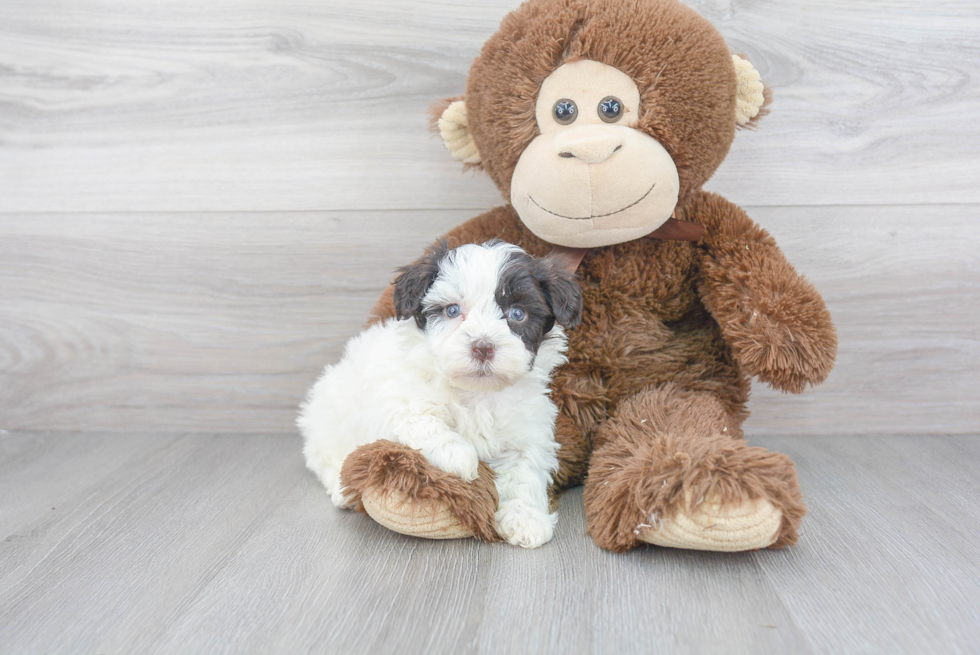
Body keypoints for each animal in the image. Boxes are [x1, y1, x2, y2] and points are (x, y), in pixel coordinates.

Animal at [294, 241, 580, 548]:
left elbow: (524, 471)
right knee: (325, 457)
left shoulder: (527, 429)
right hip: (329, 415)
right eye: (452, 310)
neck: (476, 393)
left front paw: (526, 518)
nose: (483, 347)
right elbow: (425, 421)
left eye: (517, 313)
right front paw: (459, 456)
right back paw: (340, 489)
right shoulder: (398, 398)